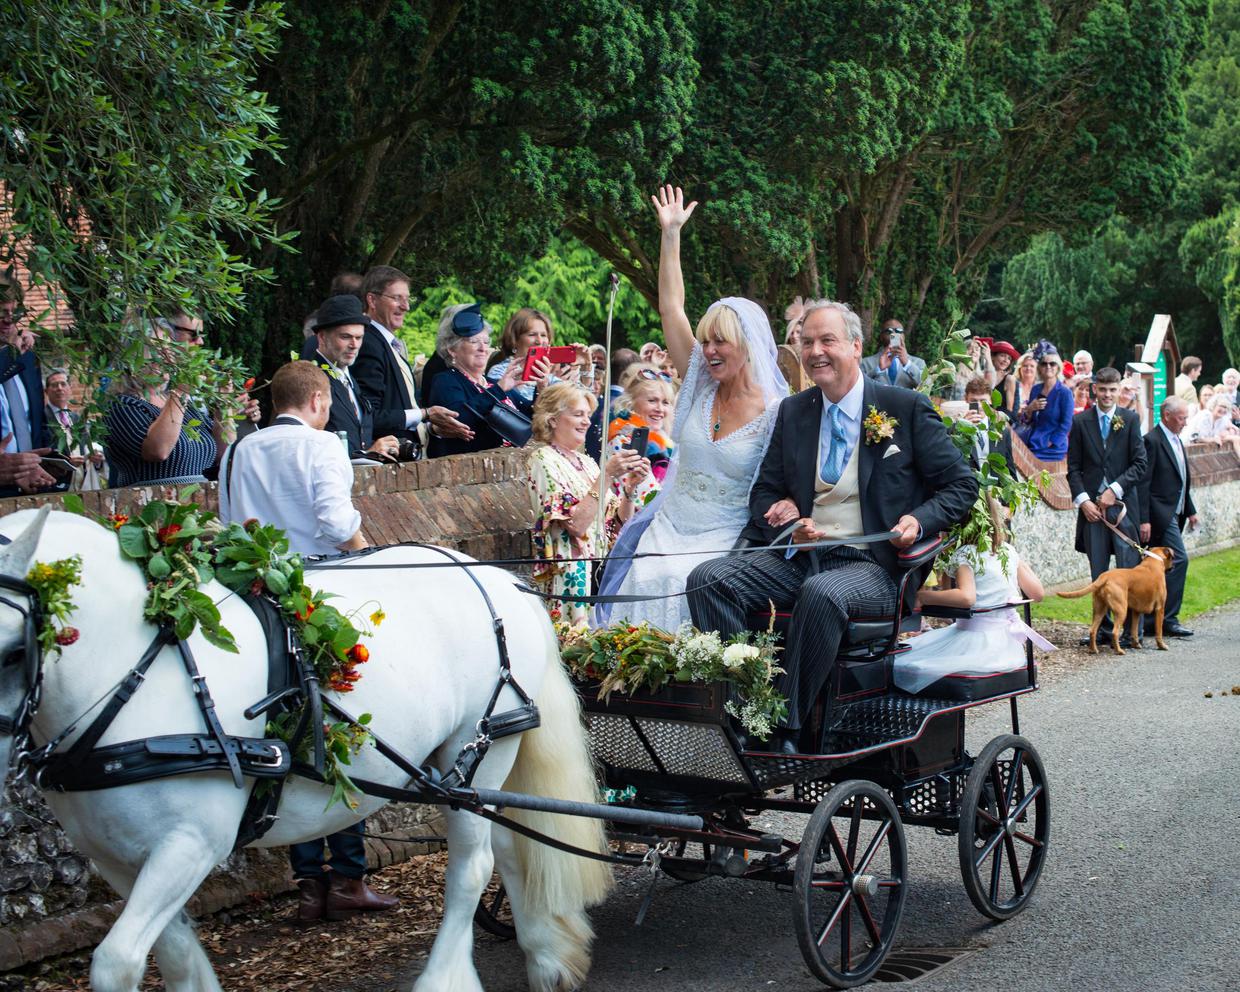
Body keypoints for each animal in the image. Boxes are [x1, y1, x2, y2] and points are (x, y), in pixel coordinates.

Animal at [0, 510, 612, 992]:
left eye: (12, 650)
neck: (141, 671)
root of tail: (493, 577)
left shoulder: (191, 844)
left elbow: (117, 961)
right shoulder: (117, 860)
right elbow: (169, 952)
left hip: (477, 746)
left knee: (471, 866)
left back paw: (446, 978)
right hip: (468, 770)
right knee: (505, 846)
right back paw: (545, 955)